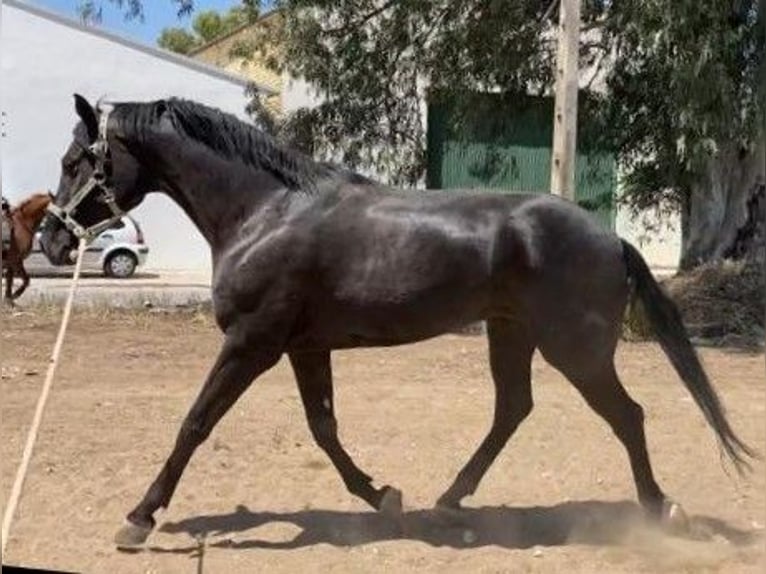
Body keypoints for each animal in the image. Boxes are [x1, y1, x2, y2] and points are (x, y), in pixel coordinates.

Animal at [39, 95, 755, 548]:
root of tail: (609, 238)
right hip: (511, 334)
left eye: (76, 162)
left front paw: (139, 518)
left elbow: (195, 423)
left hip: (574, 349)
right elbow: (324, 428)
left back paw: (661, 510)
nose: (52, 239)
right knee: (513, 409)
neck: (267, 212)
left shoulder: (252, 344)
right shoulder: (302, 348)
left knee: (626, 416)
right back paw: (448, 499)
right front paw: (382, 495)